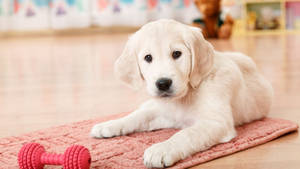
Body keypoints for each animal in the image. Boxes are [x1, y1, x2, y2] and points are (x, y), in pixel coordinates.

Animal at [89, 19, 274, 168]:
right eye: (148, 58)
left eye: (177, 54)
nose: (163, 83)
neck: (186, 95)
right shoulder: (164, 114)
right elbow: (138, 117)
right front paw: (111, 124)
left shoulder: (216, 122)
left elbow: (186, 134)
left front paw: (161, 149)